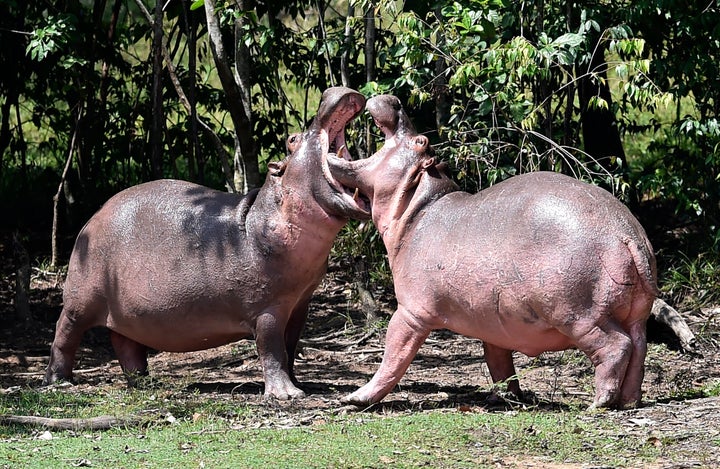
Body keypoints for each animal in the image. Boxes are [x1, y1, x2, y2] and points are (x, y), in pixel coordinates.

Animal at [44, 86, 368, 396]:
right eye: (292, 139)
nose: (329, 93)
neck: (267, 214)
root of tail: (94, 216)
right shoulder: (267, 309)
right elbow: (272, 351)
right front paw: (287, 395)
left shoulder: (300, 304)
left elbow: (290, 349)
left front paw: (301, 385)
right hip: (80, 301)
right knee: (64, 333)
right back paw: (59, 382)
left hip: (126, 311)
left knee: (126, 343)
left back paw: (146, 382)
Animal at [326, 94, 660, 406]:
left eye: (420, 141)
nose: (394, 100)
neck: (417, 207)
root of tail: (626, 234)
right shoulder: (492, 325)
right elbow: (499, 363)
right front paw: (507, 399)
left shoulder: (410, 312)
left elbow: (393, 356)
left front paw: (354, 399)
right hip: (634, 314)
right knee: (639, 349)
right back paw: (629, 401)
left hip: (578, 314)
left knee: (616, 347)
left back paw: (599, 403)